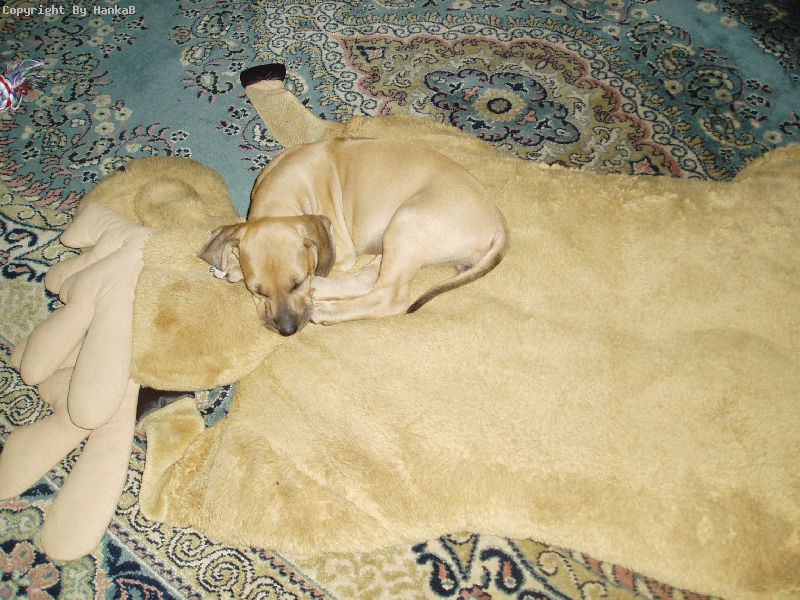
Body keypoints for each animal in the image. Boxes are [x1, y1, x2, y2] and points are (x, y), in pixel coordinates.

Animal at [199, 138, 508, 336]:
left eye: (297, 282)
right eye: (258, 291)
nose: (287, 331)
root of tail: (499, 224)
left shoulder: (342, 252)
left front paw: (231, 265)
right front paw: (230, 260)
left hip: (407, 224)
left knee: (388, 297)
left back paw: (325, 309)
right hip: (397, 239)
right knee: (368, 281)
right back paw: (321, 292)